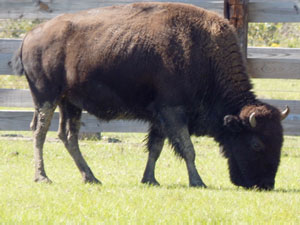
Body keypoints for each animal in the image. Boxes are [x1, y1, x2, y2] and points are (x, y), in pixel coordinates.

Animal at [11, 2, 288, 190]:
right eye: (256, 143)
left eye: (280, 142)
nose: (266, 185)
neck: (203, 52)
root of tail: (30, 35)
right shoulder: (172, 111)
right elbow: (187, 149)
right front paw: (198, 181)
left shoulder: (160, 117)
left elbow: (155, 148)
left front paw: (149, 180)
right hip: (46, 98)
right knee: (40, 133)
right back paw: (43, 177)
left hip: (70, 103)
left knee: (68, 136)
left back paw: (91, 177)